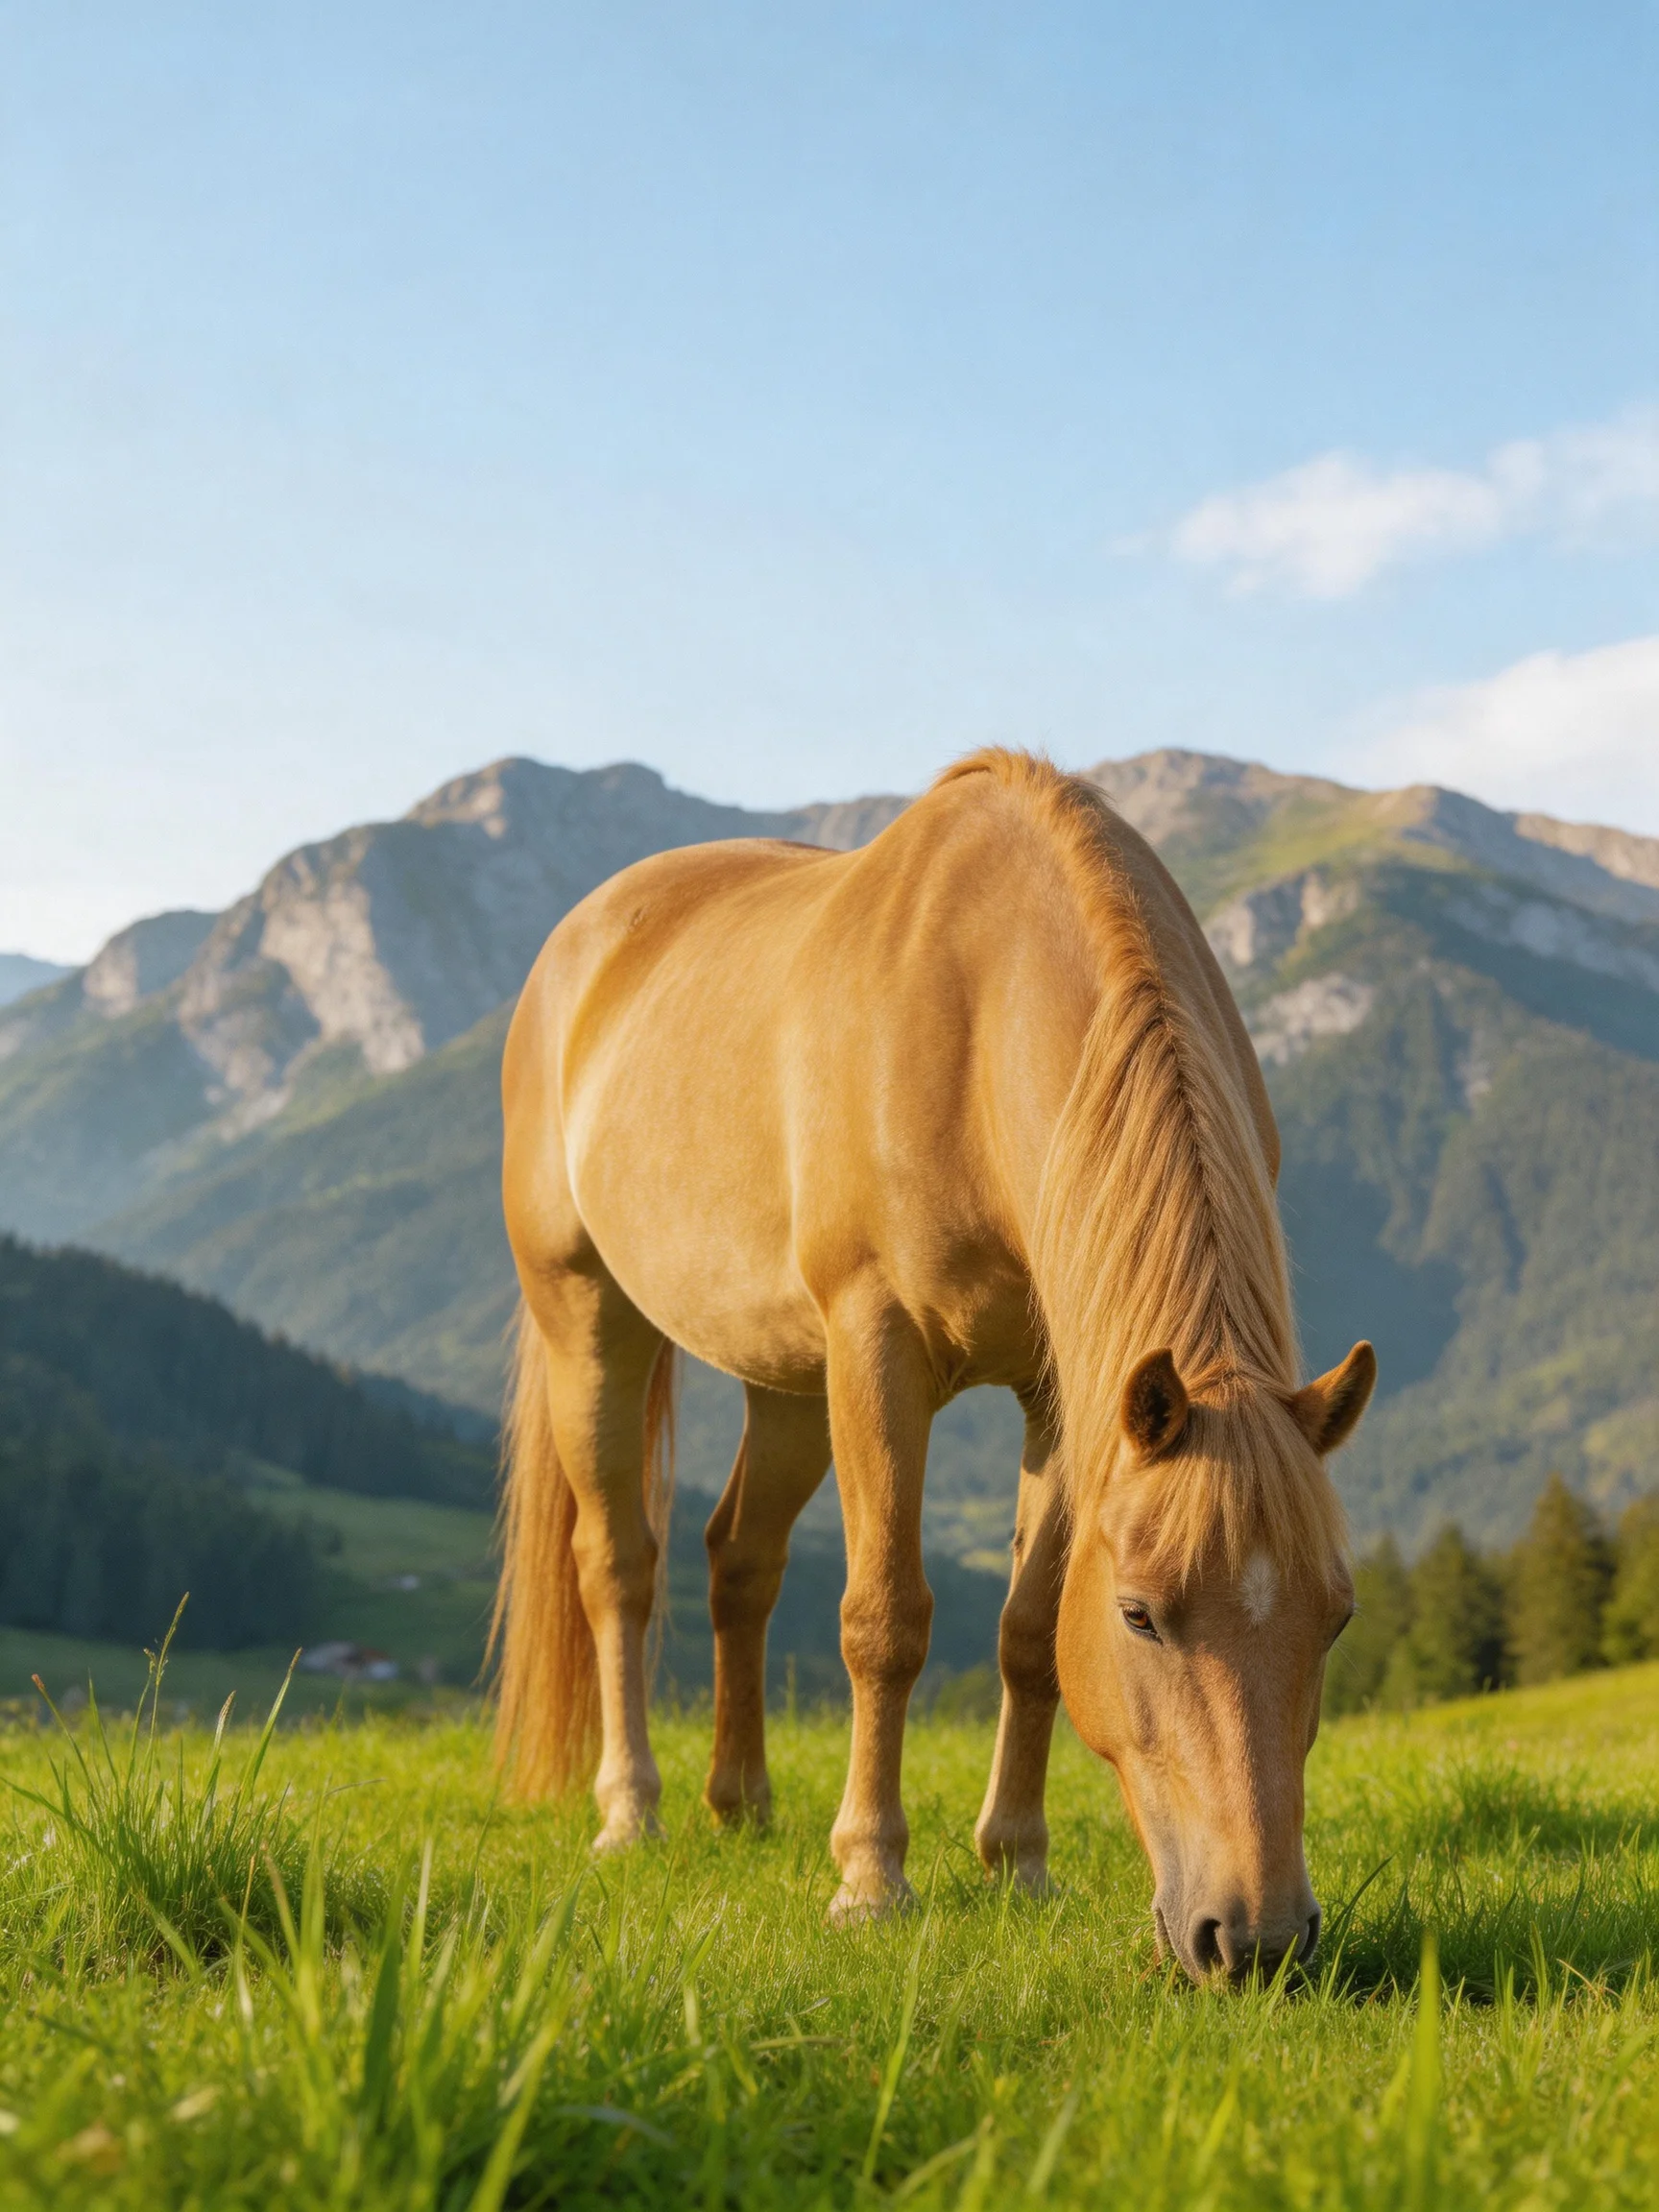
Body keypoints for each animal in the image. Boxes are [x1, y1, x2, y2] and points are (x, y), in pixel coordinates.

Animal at [493, 749, 1375, 1979]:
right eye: (1142, 1616)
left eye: (1336, 1617)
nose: (1256, 1940)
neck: (980, 1011)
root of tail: (582, 942)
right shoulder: (877, 1347)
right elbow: (886, 1617)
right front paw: (870, 1879)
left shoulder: (1063, 1392)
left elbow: (1028, 1631)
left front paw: (1018, 1862)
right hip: (590, 1317)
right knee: (618, 1562)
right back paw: (633, 1812)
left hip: (787, 1380)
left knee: (739, 1557)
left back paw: (742, 1803)